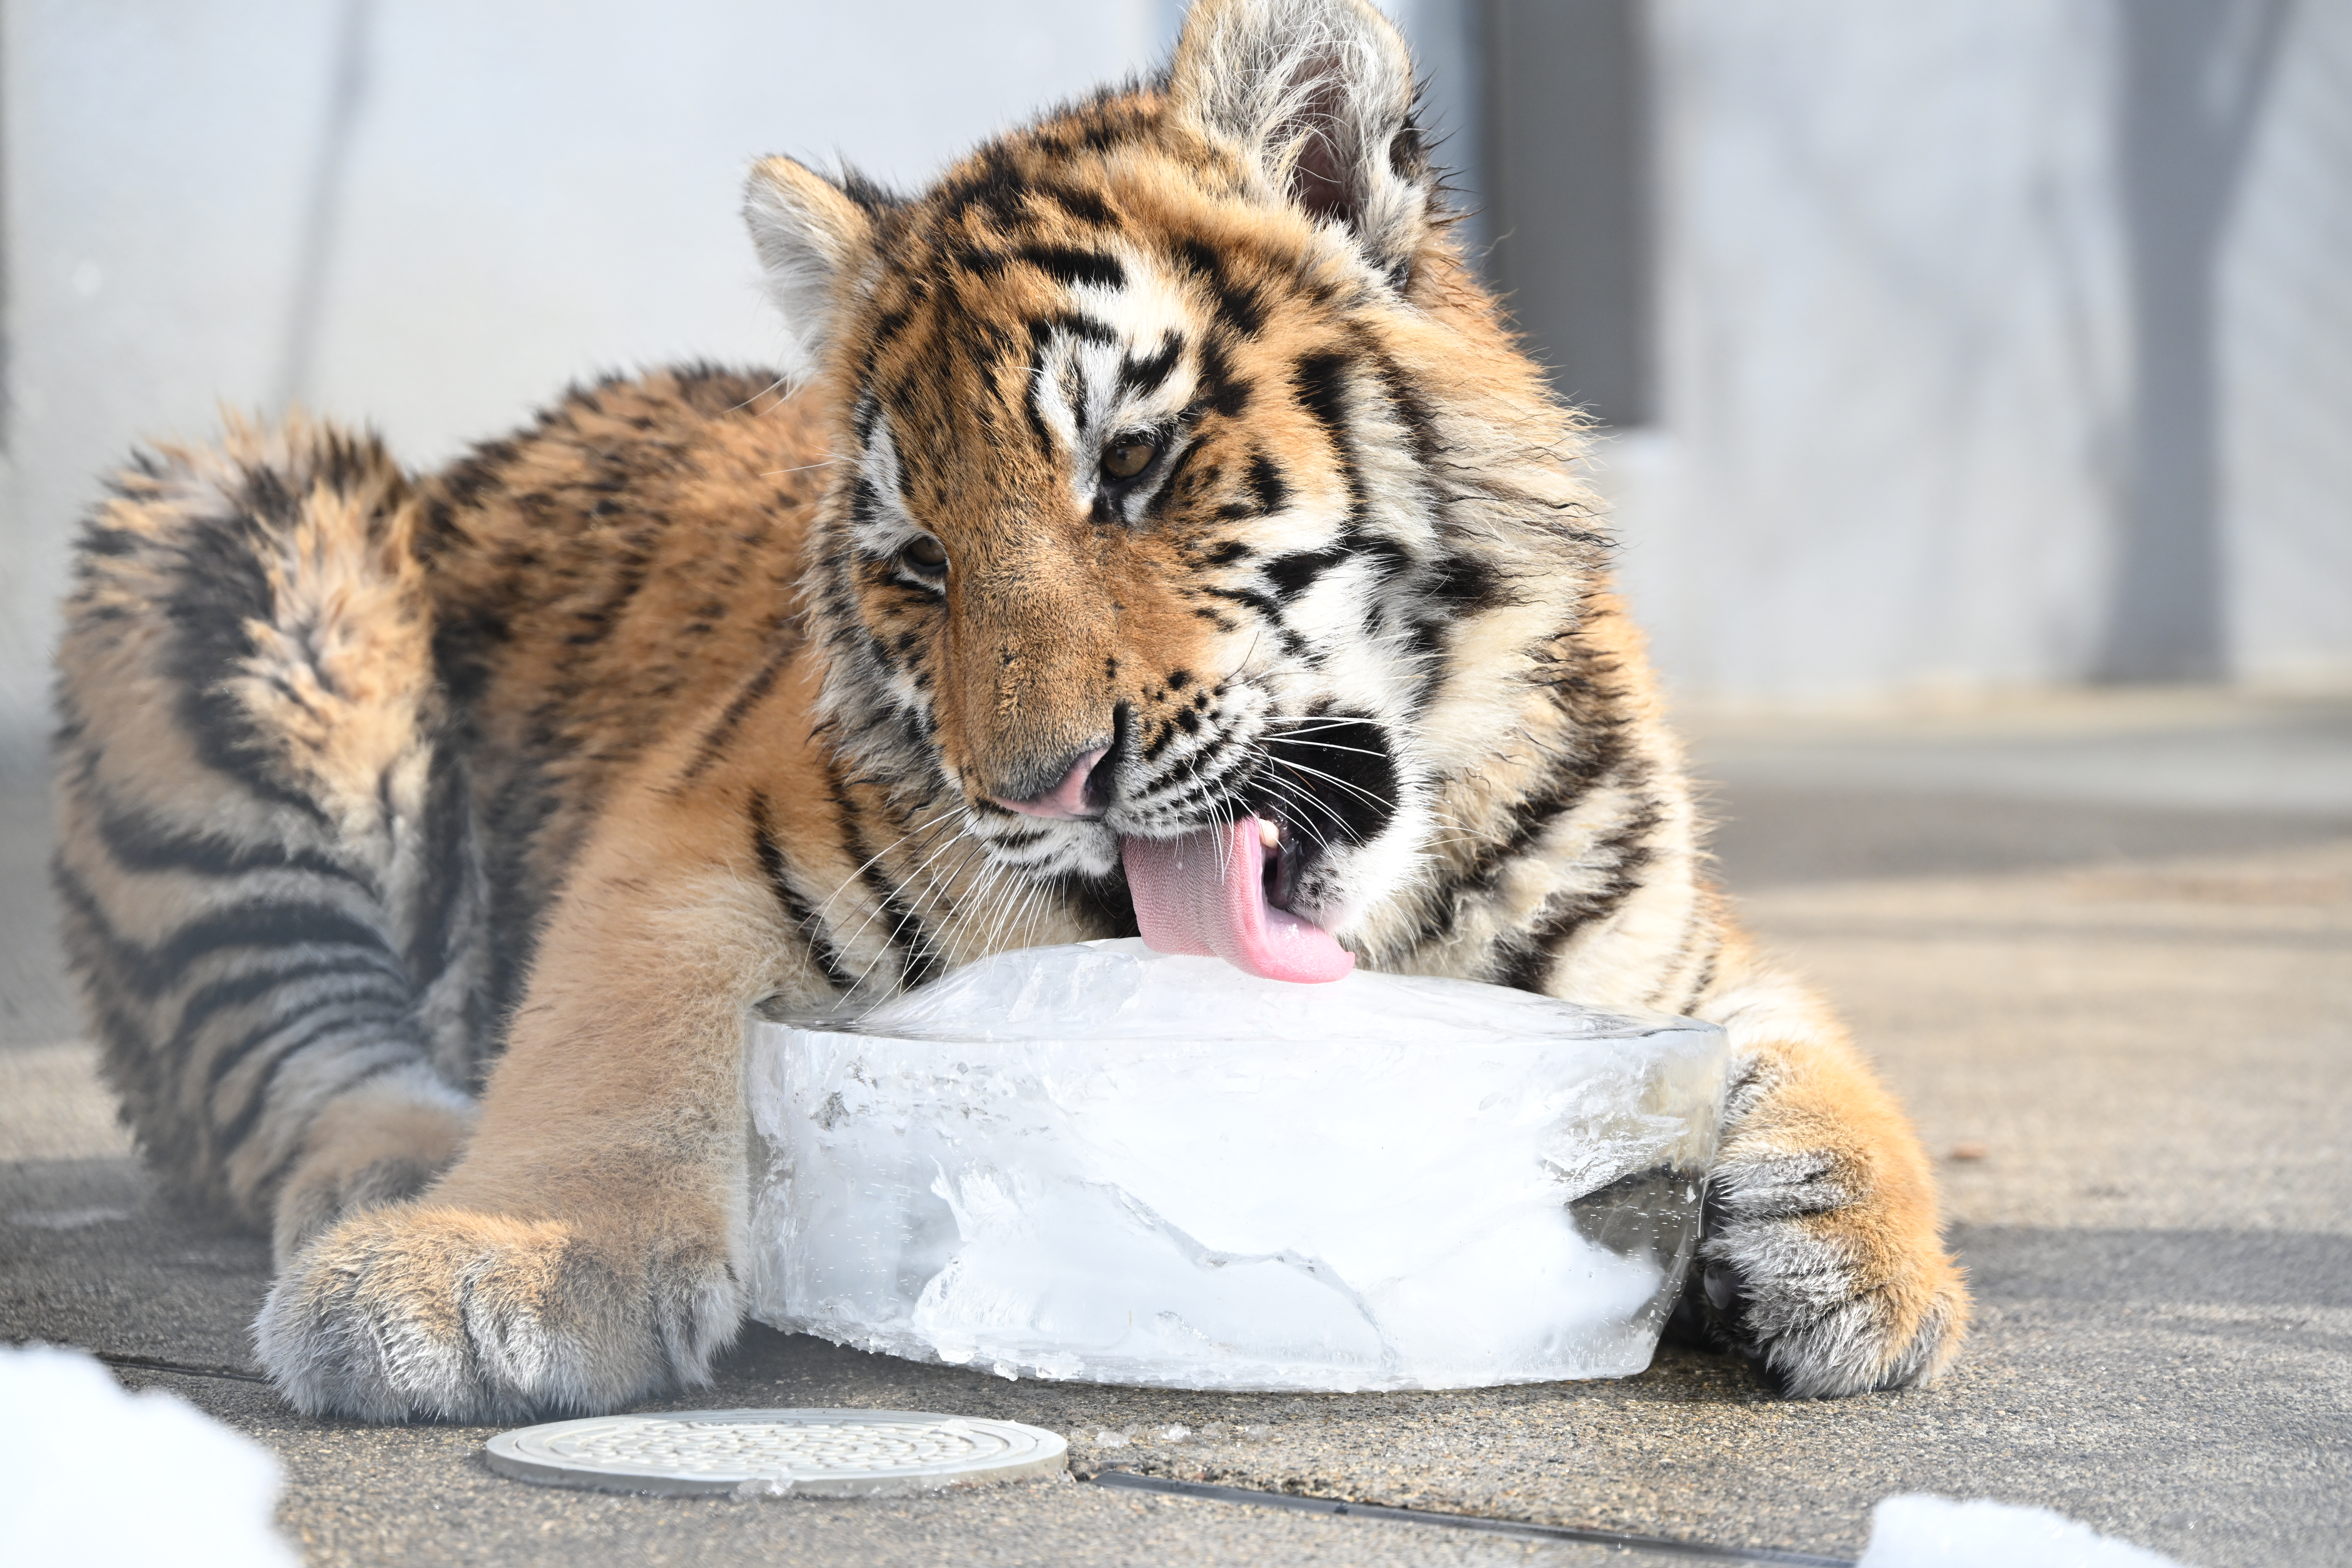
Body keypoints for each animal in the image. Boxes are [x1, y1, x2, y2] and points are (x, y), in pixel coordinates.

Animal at [51, 0, 1966, 1421]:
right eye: (918, 558)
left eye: (1131, 463)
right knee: (277, 1046)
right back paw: (391, 1171)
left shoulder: (1663, 948)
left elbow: (1804, 1048)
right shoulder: (695, 847)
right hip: (238, 553)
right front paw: (482, 1268)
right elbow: (610, 1045)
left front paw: (1867, 1264)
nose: (1042, 784)